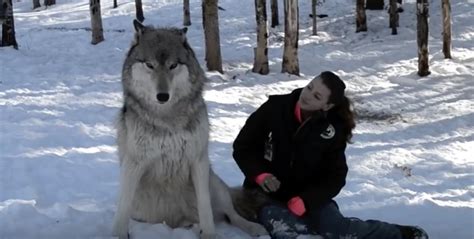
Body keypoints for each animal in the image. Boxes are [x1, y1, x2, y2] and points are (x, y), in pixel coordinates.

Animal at [110, 19, 266, 239]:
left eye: (173, 65)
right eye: (150, 65)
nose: (162, 96)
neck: (167, 119)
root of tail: (176, 221)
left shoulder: (198, 160)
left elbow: (205, 207)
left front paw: (208, 235)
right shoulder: (134, 164)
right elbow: (122, 211)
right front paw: (118, 235)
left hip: (214, 183)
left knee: (231, 214)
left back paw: (253, 228)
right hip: (141, 208)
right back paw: (191, 226)